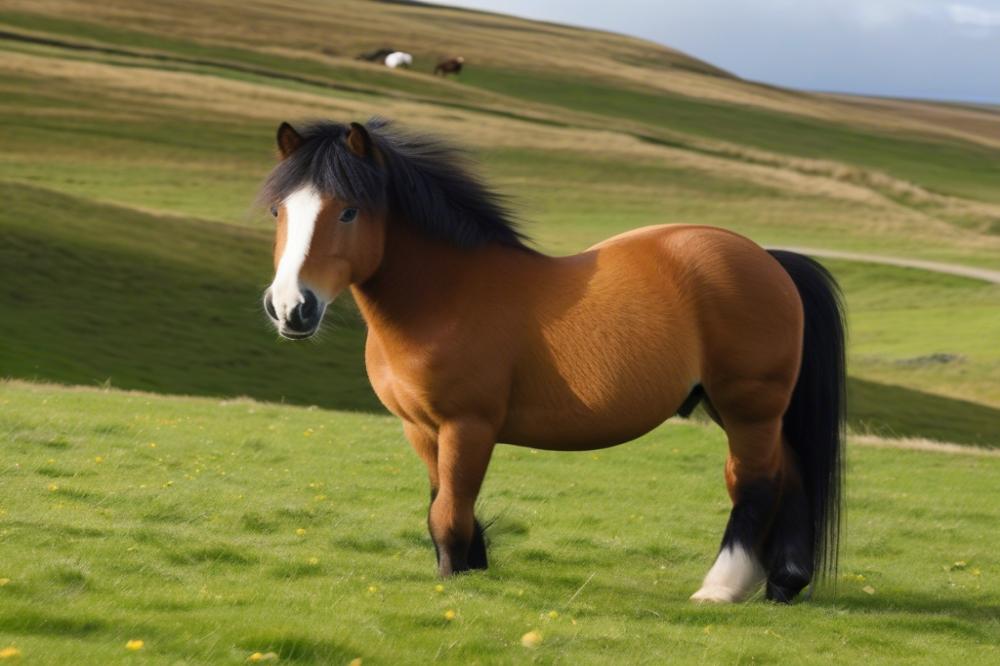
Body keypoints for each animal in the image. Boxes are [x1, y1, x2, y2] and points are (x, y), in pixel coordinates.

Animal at [258, 119, 844, 600]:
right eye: (279, 210)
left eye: (349, 210)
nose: (290, 307)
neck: (449, 296)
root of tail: (770, 259)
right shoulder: (421, 428)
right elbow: (442, 500)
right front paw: (472, 566)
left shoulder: (468, 425)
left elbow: (451, 508)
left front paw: (457, 578)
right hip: (740, 409)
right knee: (791, 474)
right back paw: (784, 584)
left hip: (749, 407)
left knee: (756, 484)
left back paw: (721, 588)